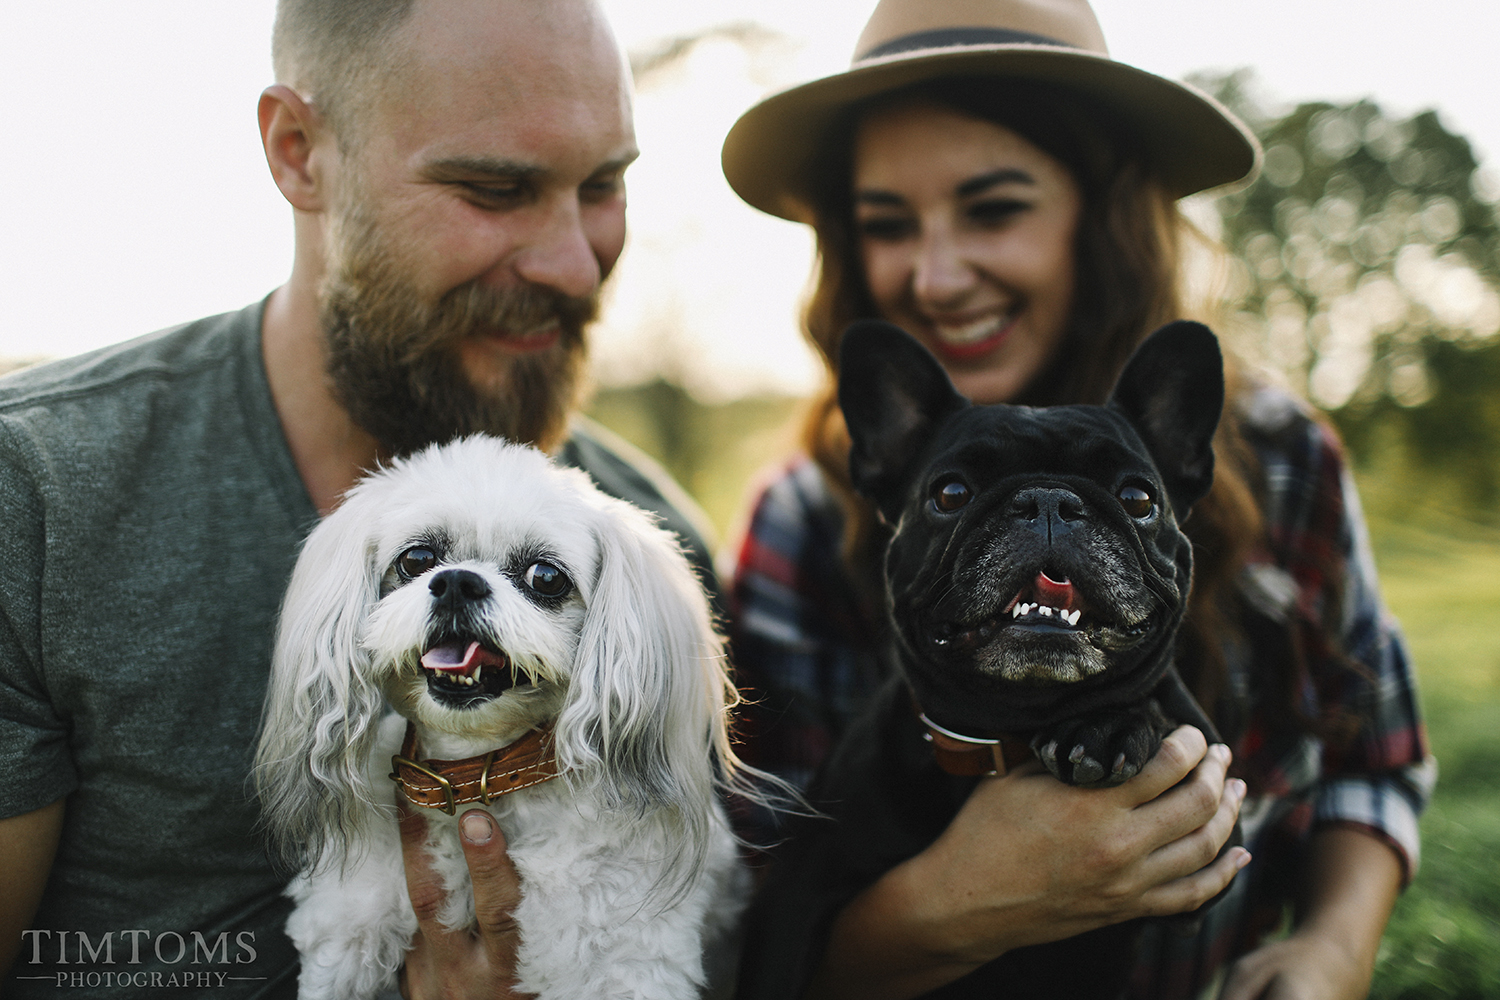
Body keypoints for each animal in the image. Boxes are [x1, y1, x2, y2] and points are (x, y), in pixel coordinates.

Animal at [256, 437, 756, 1000]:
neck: (480, 773)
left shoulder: (622, 967)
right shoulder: (344, 933)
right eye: (417, 558)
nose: (457, 582)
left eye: (545, 577)